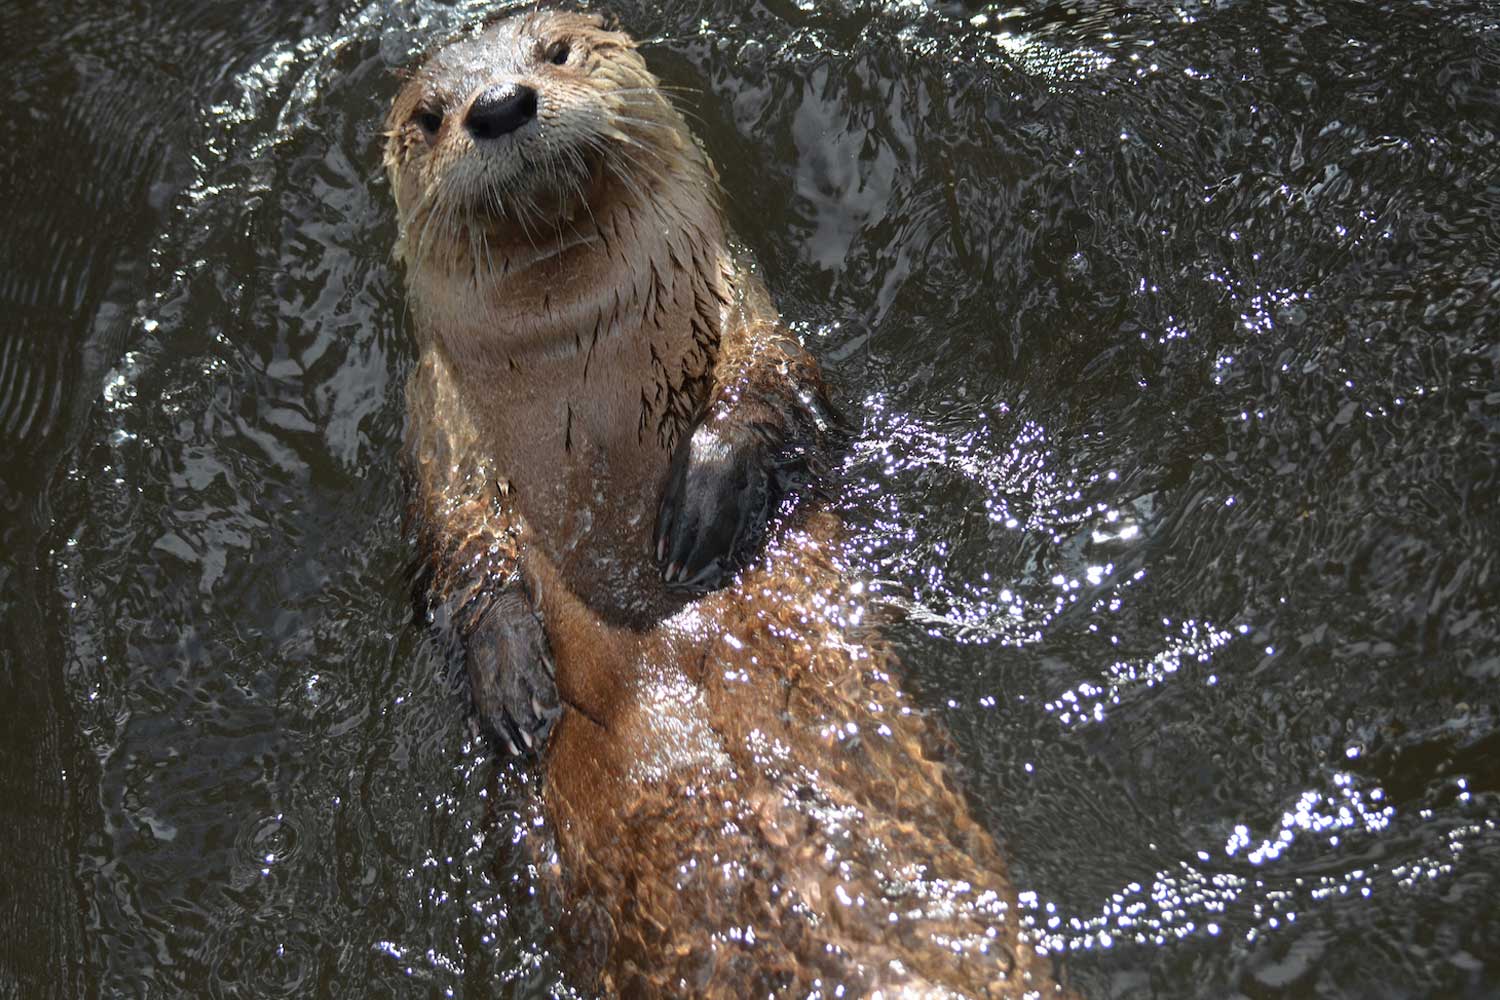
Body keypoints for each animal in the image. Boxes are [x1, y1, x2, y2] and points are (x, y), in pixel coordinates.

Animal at [381, 9, 1074, 1000]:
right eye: (430, 116)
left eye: (556, 50)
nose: (501, 102)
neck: (584, 381)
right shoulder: (437, 427)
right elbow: (458, 547)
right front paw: (512, 679)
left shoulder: (749, 311)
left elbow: (781, 395)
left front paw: (701, 501)